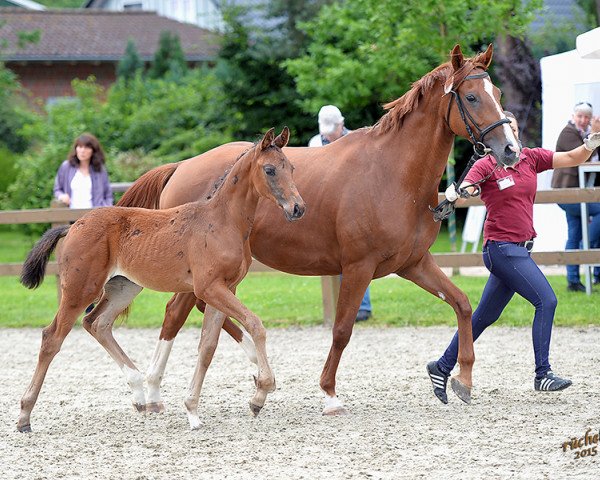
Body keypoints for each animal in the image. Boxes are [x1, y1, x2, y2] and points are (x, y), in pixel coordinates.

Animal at [18, 126, 304, 432]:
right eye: (270, 170)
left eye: (292, 167)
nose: (298, 208)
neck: (223, 221)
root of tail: (73, 227)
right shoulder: (210, 288)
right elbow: (255, 324)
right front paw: (262, 389)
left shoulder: (224, 289)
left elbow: (207, 347)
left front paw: (193, 409)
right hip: (80, 289)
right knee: (52, 337)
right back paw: (25, 415)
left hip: (124, 287)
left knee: (97, 323)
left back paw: (139, 393)